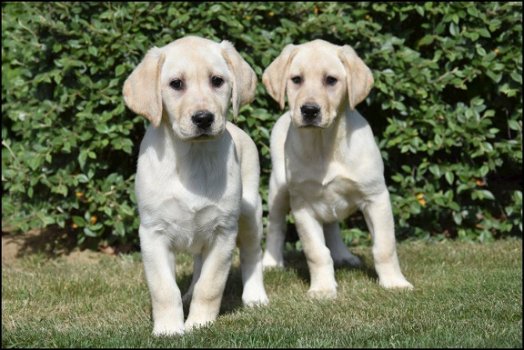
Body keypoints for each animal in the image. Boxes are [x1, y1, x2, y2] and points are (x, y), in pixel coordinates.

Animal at [123, 35, 268, 336]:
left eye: (217, 81)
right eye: (176, 84)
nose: (203, 118)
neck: (193, 156)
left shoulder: (224, 232)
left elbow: (210, 286)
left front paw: (199, 324)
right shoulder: (152, 233)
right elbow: (164, 289)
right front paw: (168, 329)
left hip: (250, 214)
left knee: (252, 255)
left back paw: (255, 297)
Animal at [262, 40, 414, 298]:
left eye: (331, 80)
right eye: (296, 79)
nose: (309, 110)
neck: (324, 144)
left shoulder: (376, 197)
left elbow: (384, 246)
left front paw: (394, 283)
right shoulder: (303, 206)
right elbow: (316, 252)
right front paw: (323, 288)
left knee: (332, 226)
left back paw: (343, 255)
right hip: (278, 188)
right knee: (276, 225)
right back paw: (270, 263)